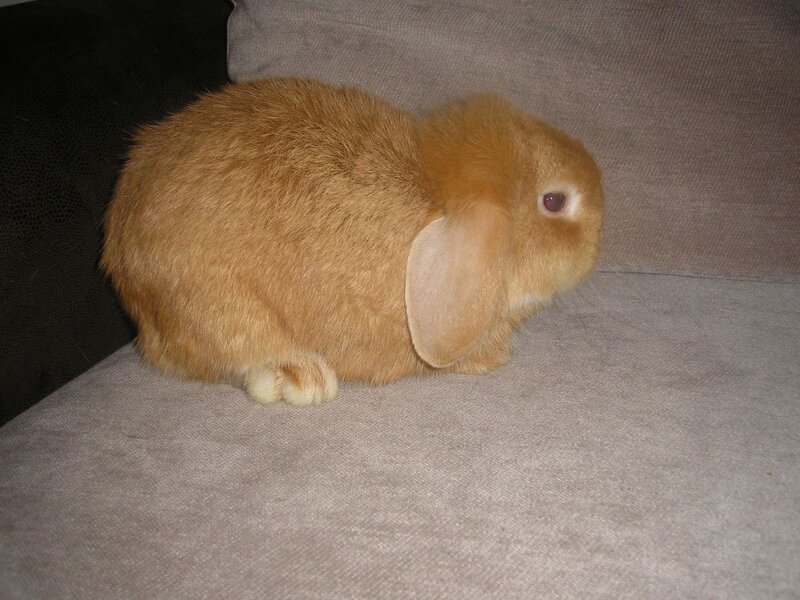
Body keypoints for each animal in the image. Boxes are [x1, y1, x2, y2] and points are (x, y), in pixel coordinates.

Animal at [101, 77, 603, 406]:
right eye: (554, 201)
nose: (599, 238)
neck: (436, 198)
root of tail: (120, 251)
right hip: (213, 298)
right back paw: (301, 376)